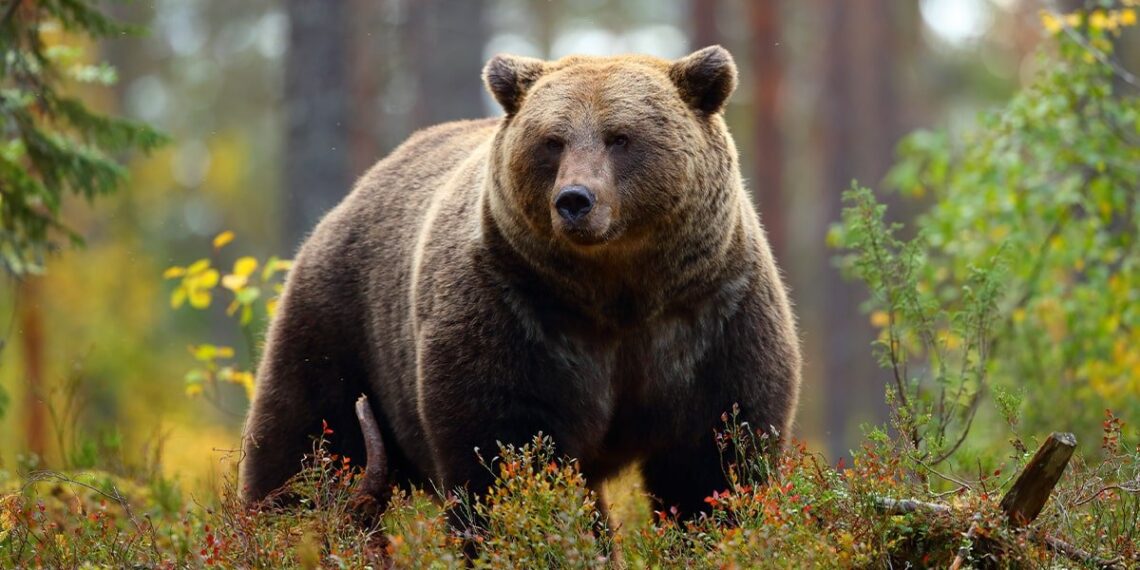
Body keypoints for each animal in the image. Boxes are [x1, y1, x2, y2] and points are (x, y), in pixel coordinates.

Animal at [240, 45, 802, 519]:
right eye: (553, 141)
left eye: (621, 137)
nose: (575, 199)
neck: (620, 292)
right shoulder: (515, 312)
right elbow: (506, 452)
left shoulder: (711, 315)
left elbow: (715, 459)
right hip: (342, 323)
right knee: (304, 442)